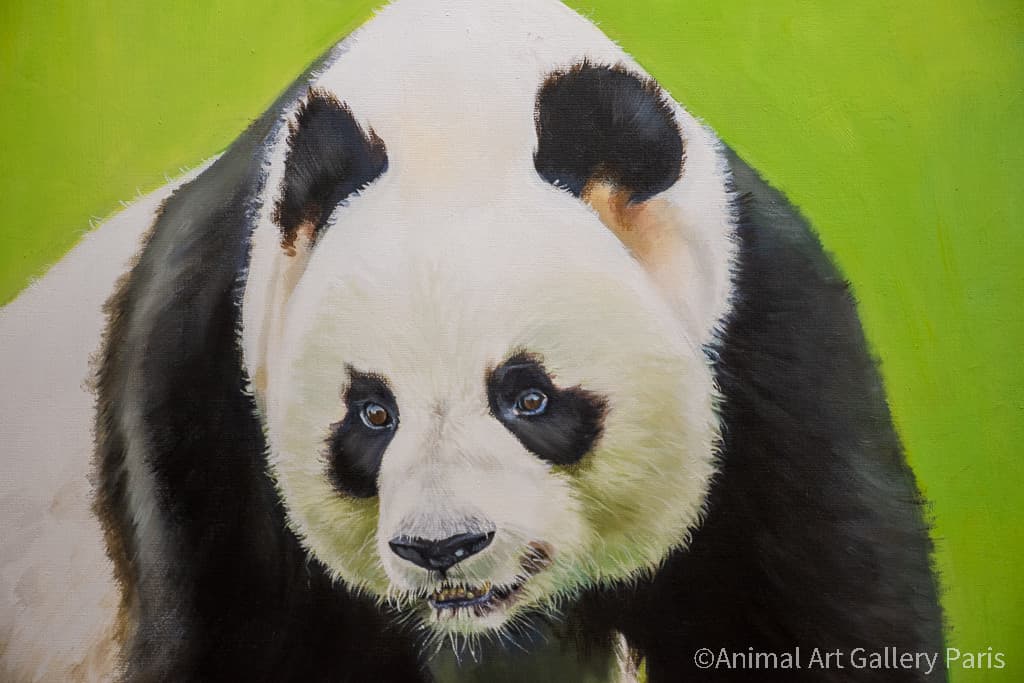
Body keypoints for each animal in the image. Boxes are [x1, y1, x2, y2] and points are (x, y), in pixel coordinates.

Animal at [0, 0, 943, 681]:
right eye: (372, 413)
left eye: (529, 396)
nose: (442, 547)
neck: (458, 105)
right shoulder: (204, 405)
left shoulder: (765, 354)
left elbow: (811, 618)